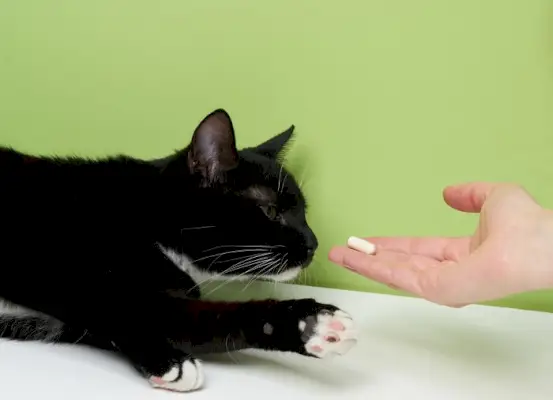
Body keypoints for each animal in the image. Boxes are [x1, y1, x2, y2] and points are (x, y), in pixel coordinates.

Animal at [0, 108, 358, 390]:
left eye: (303, 211)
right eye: (270, 211)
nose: (313, 243)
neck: (146, 216)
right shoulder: (66, 274)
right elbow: (140, 311)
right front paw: (309, 322)